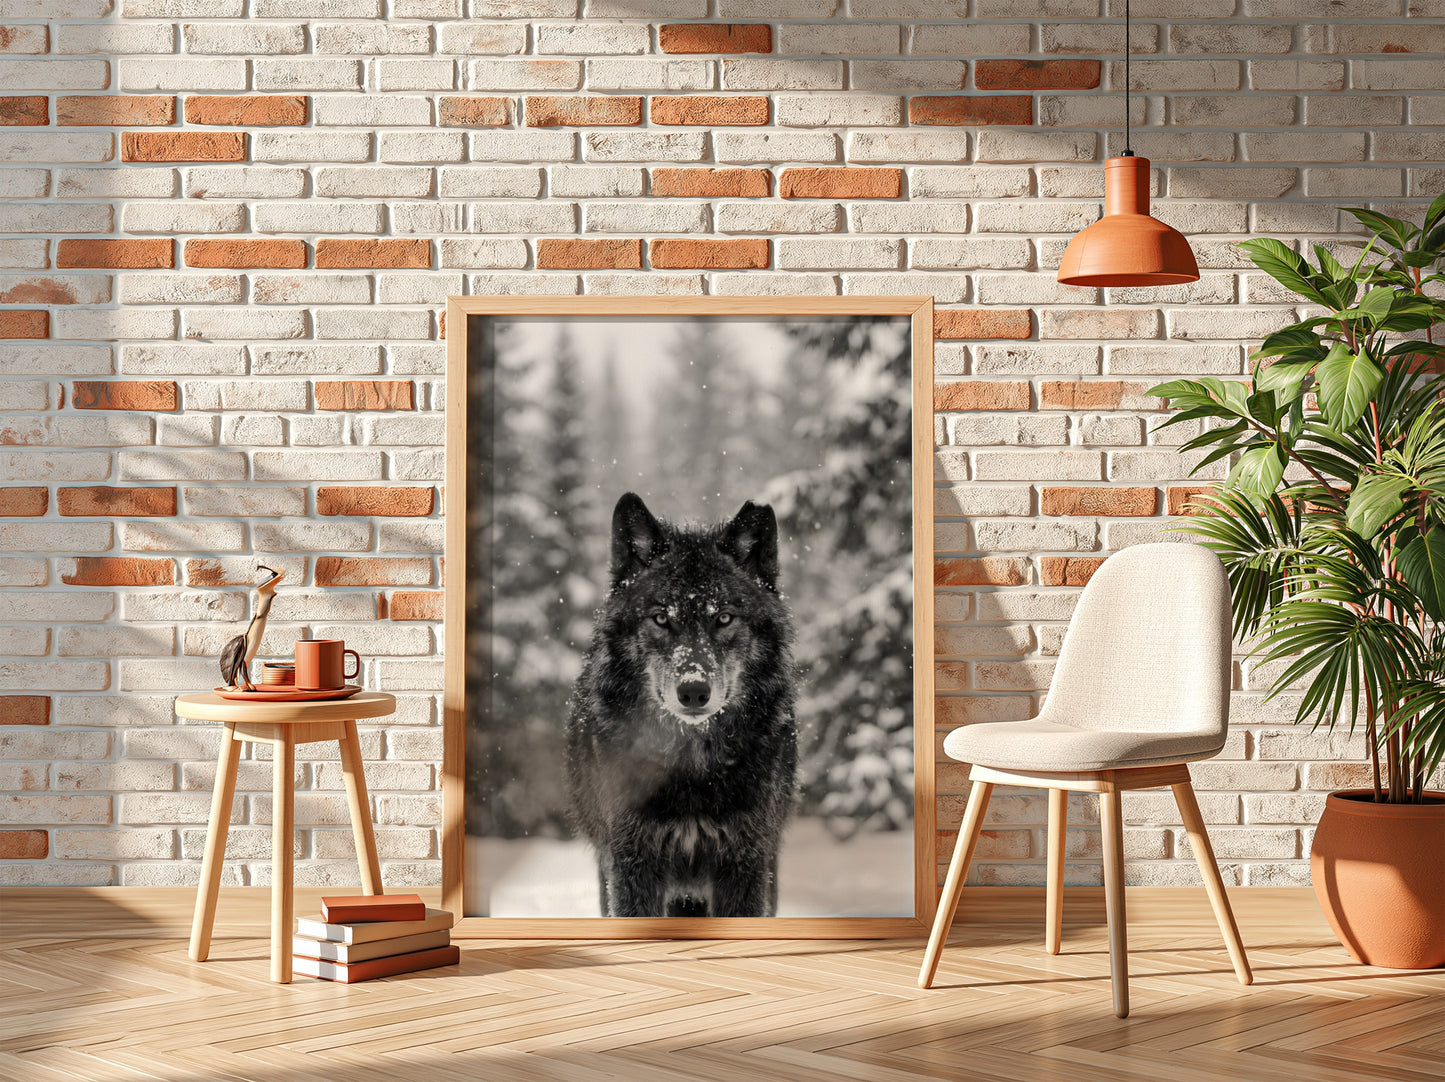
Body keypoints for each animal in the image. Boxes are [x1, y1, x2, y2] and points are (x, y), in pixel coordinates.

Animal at [565, 492, 798, 919]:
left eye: (724, 617)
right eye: (661, 618)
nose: (693, 691)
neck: (691, 766)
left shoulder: (747, 861)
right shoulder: (630, 861)